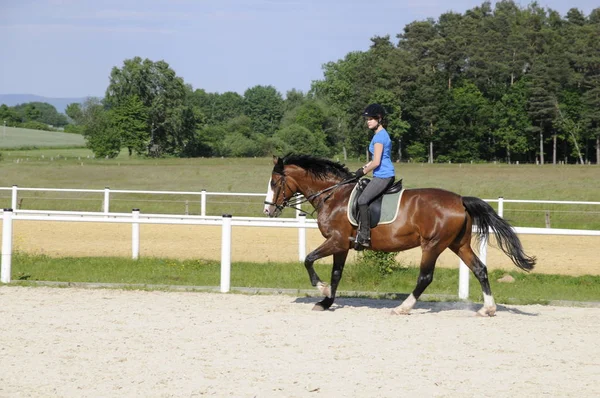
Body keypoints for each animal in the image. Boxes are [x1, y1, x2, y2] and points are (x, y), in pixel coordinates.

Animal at [262, 154, 536, 316]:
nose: (267, 210)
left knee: (425, 277)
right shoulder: (342, 245)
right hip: (458, 244)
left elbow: (308, 259)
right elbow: (336, 274)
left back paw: (403, 307)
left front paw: (320, 288)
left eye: (274, 183)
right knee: (480, 269)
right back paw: (487, 309)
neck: (332, 195)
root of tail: (460, 200)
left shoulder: (336, 241)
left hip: (433, 245)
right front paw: (326, 301)